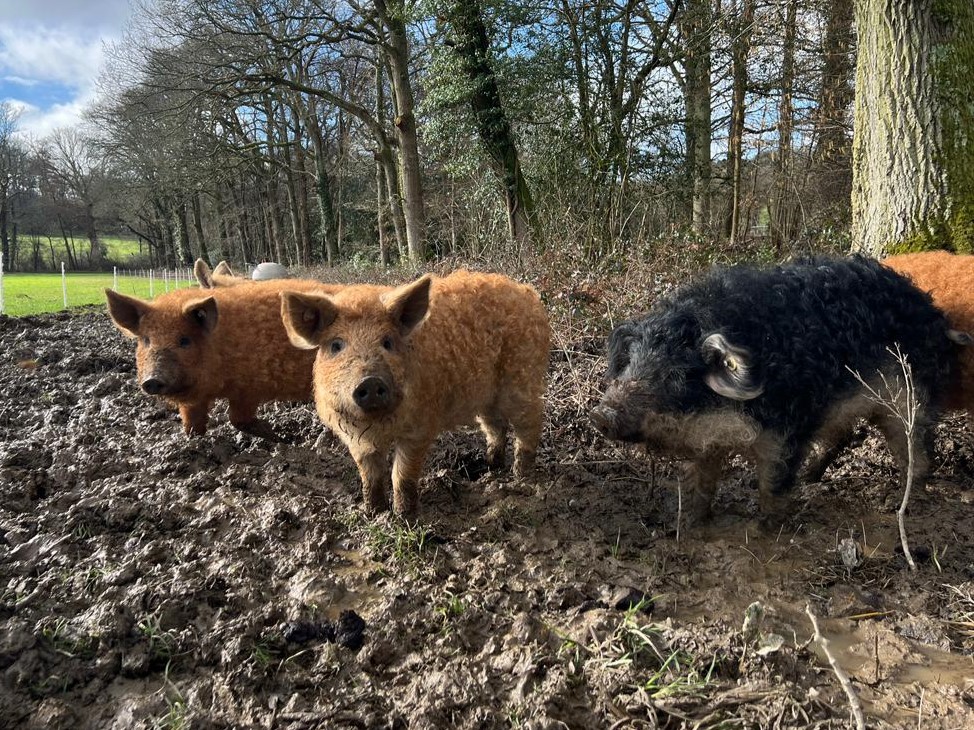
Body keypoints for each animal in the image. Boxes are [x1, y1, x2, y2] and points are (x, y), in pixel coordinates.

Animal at [105, 278, 341, 435]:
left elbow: (237, 418)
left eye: (184, 340)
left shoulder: (248, 388)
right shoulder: (196, 399)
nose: (152, 380)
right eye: (146, 340)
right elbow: (192, 417)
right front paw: (191, 436)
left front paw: (268, 431)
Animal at [280, 270, 551, 517]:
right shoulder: (354, 436)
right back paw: (490, 468)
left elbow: (401, 473)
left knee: (530, 423)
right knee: (495, 425)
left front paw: (404, 517)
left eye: (387, 342)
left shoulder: (419, 427)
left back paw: (521, 476)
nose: (370, 381)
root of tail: (528, 293)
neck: (378, 424)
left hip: (522, 378)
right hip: (486, 395)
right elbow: (370, 475)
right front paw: (373, 512)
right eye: (336, 345)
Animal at [591, 255, 963, 521]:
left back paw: (901, 502)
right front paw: (688, 524)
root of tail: (933, 313)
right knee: (844, 435)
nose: (601, 413)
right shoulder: (710, 441)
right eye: (631, 363)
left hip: (911, 398)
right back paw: (812, 479)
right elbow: (700, 483)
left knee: (918, 448)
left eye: (677, 374)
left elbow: (773, 487)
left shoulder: (788, 430)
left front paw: (766, 529)